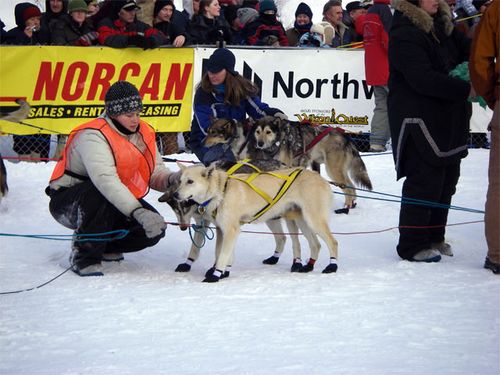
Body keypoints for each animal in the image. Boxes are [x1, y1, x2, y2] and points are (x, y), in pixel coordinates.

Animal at [172, 163, 340, 284]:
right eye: (180, 181)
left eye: (190, 181)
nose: (175, 194)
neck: (221, 192)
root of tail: (321, 178)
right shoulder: (223, 230)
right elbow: (224, 254)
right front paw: (224, 272)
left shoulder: (231, 230)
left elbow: (223, 255)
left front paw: (215, 275)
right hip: (302, 222)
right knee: (315, 245)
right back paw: (308, 266)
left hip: (313, 220)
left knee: (333, 242)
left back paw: (332, 266)